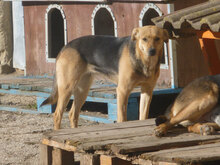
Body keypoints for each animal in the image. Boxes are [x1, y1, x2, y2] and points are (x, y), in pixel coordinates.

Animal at [40, 25, 168, 130]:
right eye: (144, 39)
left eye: (157, 38)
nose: (152, 51)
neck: (144, 61)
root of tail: (65, 46)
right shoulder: (123, 90)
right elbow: (122, 118)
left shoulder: (147, 90)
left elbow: (143, 116)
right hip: (67, 88)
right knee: (57, 115)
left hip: (82, 90)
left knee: (73, 114)